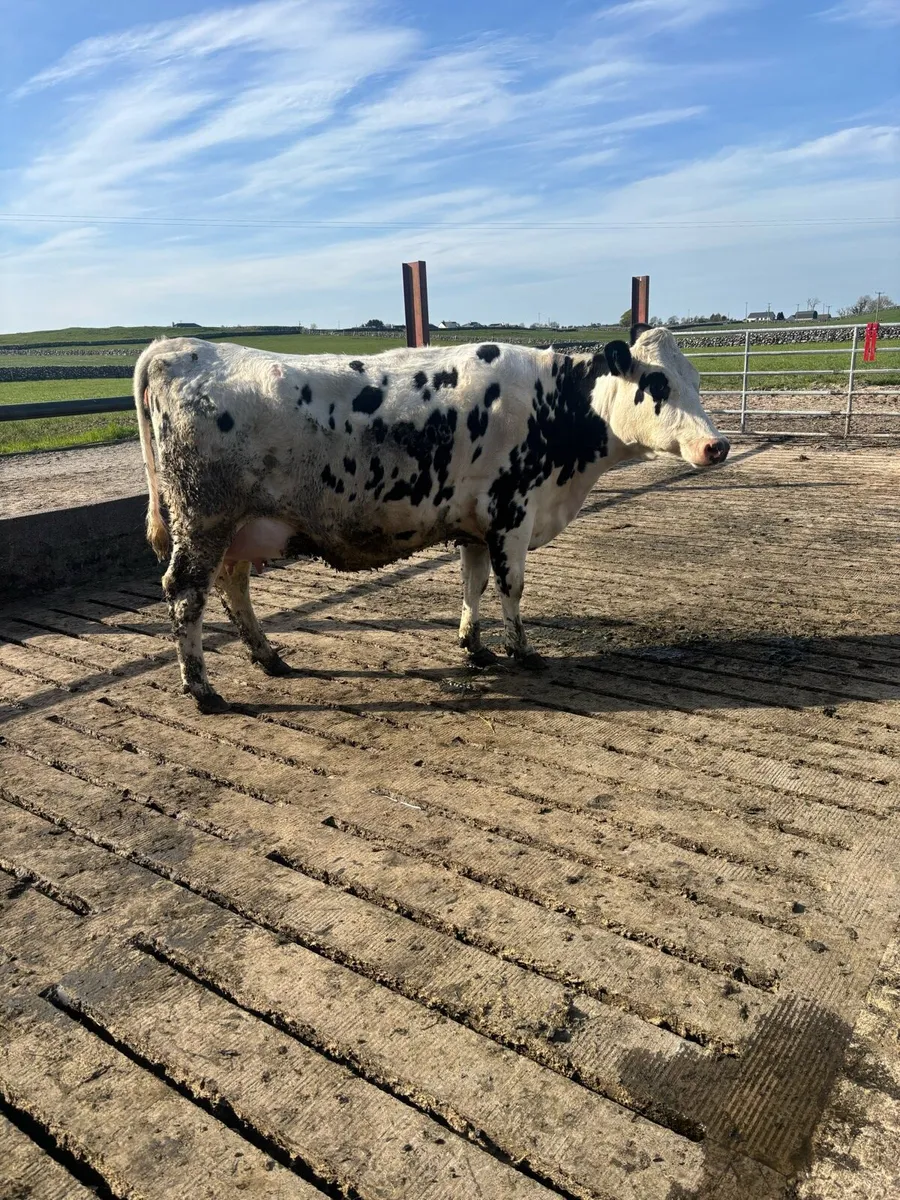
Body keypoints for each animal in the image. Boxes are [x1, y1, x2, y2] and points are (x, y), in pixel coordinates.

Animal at [133, 327, 728, 712]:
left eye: (696, 381)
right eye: (658, 383)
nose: (715, 446)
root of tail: (182, 347)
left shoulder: (478, 525)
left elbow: (475, 583)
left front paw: (476, 646)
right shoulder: (512, 513)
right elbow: (512, 588)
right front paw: (522, 652)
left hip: (241, 527)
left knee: (233, 586)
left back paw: (269, 657)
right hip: (205, 521)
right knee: (185, 595)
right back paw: (203, 690)